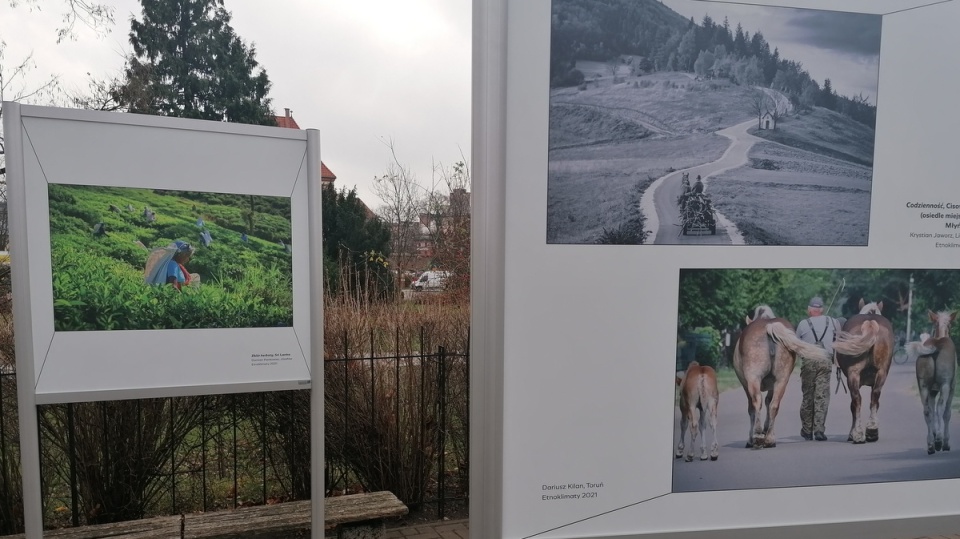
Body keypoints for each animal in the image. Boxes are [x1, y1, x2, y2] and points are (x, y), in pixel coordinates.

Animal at [736, 306, 832, 450]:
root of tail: (769, 327)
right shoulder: (772, 385)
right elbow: (768, 402)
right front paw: (765, 429)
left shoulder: (745, 383)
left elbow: (752, 409)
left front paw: (751, 438)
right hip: (782, 380)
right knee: (774, 405)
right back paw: (769, 439)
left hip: (753, 378)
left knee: (757, 402)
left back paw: (757, 436)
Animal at [836, 302, 896, 446]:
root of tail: (869, 323)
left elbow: (853, 406)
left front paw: (851, 434)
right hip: (881, 372)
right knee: (874, 396)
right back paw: (871, 430)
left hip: (854, 375)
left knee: (857, 400)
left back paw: (859, 434)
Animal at [912, 310, 956, 454]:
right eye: (951, 325)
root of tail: (936, 347)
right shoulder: (952, 386)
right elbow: (946, 412)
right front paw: (945, 442)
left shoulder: (932, 390)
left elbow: (931, 408)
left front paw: (935, 433)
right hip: (945, 383)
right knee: (941, 407)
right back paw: (939, 441)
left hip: (923, 384)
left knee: (927, 410)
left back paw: (931, 444)